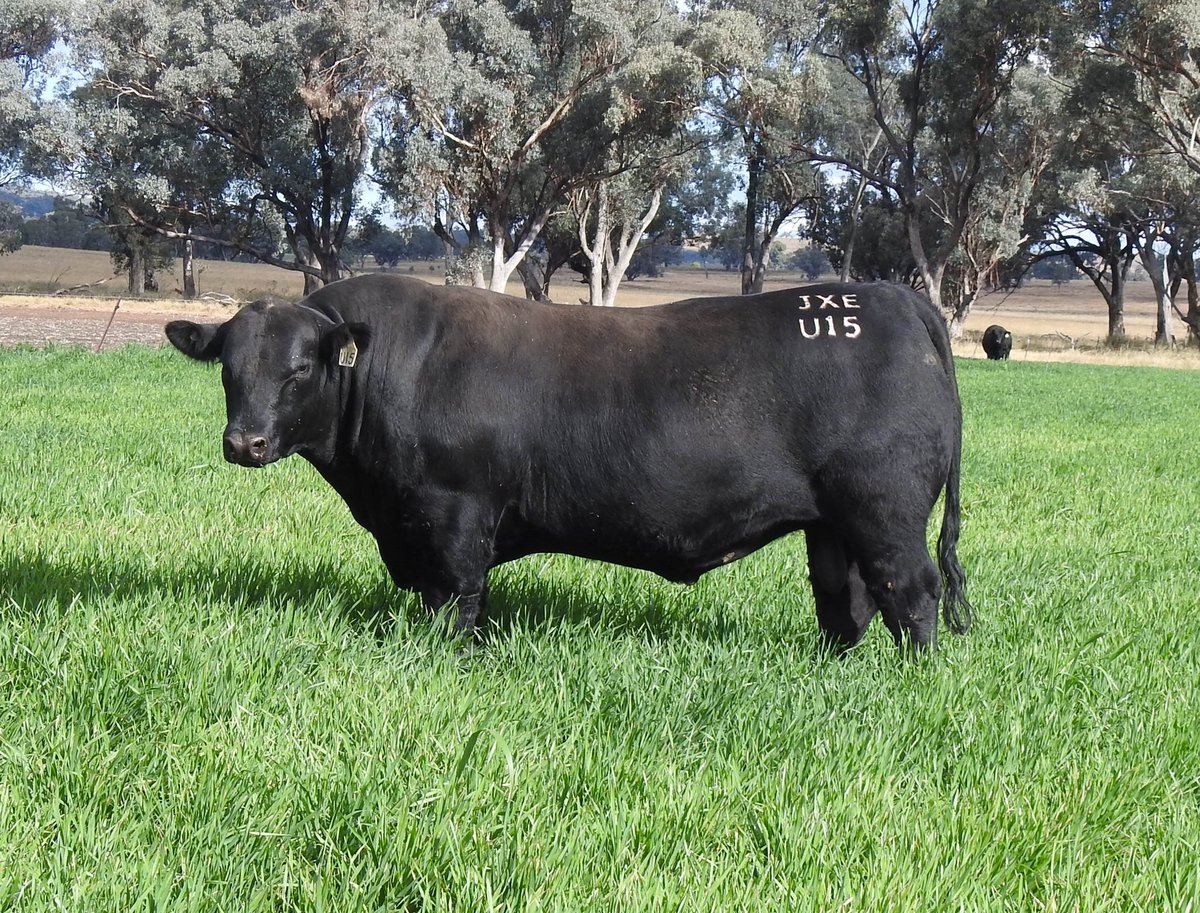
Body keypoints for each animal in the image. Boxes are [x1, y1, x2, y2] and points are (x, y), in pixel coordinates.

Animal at [165, 274, 971, 653]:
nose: (244, 443)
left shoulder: (455, 512)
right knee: (846, 599)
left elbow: (455, 600)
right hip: (833, 521)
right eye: (229, 369)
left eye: (300, 369)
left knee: (912, 591)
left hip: (886, 509)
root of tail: (891, 295)